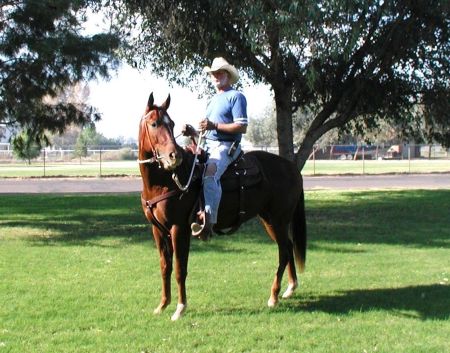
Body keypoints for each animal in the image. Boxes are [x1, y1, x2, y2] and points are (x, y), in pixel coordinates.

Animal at [138, 93, 306, 320]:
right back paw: (289, 288)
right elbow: (165, 267)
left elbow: (180, 268)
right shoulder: (158, 230)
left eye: (171, 124)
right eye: (154, 123)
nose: (175, 156)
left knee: (284, 252)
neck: (165, 181)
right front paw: (163, 305)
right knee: (288, 246)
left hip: (279, 220)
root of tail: (292, 168)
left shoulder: (179, 229)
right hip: (269, 220)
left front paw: (180, 308)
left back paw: (273, 296)